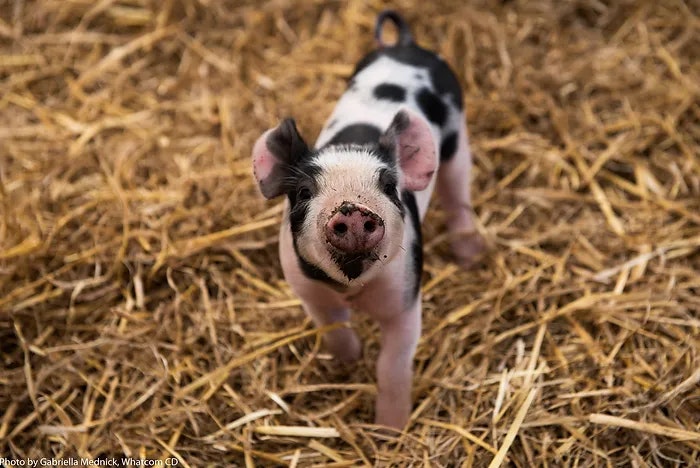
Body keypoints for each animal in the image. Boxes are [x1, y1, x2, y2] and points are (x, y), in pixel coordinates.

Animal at [252, 10, 484, 429]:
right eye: (304, 192)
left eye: (390, 186)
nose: (353, 210)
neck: (352, 288)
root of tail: (402, 45)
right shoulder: (307, 290)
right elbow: (333, 329)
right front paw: (348, 363)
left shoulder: (406, 297)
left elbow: (392, 366)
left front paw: (391, 430)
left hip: (458, 143)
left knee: (458, 196)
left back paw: (471, 256)